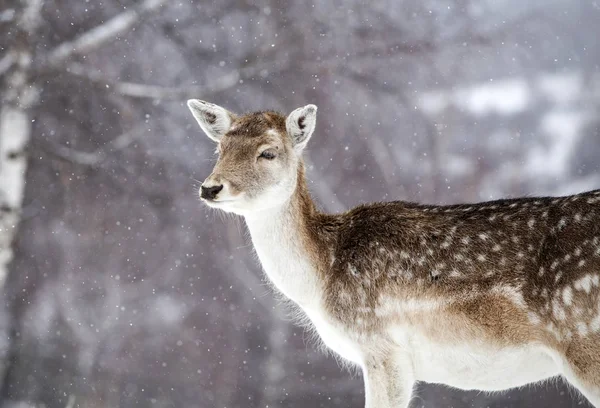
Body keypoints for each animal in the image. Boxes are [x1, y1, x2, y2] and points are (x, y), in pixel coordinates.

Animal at [188, 99, 600, 408]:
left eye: (268, 153)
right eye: (220, 148)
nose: (211, 187)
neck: (322, 279)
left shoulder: (382, 346)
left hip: (584, 341)